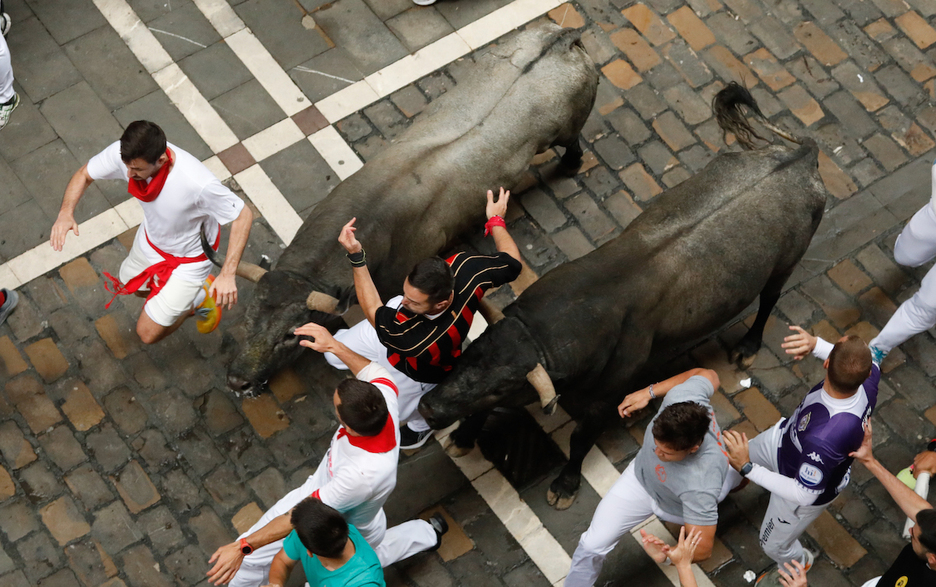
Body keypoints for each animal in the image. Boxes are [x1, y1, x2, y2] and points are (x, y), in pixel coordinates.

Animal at [208, 24, 596, 400]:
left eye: (291, 334)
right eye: (249, 314)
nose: (239, 381)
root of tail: (561, 38)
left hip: (568, 130)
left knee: (574, 144)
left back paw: (571, 166)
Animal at [420, 82, 828, 510]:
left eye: (503, 385)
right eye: (472, 352)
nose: (430, 408)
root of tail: (801, 156)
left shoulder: (604, 397)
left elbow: (580, 439)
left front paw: (565, 485)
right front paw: (464, 436)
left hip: (785, 263)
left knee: (769, 300)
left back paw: (748, 346)